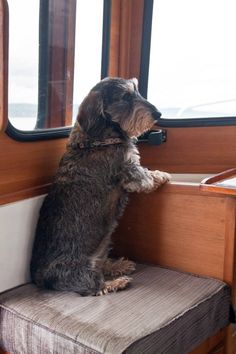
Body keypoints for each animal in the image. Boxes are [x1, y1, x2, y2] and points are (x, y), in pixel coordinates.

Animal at [30, 77, 171, 296]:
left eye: (136, 91)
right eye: (125, 96)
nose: (158, 114)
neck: (98, 140)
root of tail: (39, 277)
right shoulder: (131, 171)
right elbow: (146, 176)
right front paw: (161, 175)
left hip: (102, 248)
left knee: (101, 264)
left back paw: (117, 266)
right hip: (81, 269)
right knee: (94, 287)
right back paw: (116, 282)